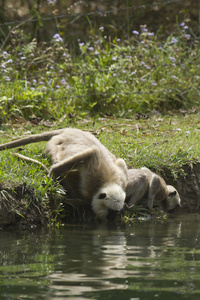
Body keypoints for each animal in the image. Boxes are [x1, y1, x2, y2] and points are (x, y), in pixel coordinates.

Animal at [0, 127, 128, 220]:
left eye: (116, 212)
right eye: (111, 212)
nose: (113, 217)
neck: (108, 182)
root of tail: (71, 130)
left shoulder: (122, 177)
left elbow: (121, 161)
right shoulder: (90, 182)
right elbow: (93, 153)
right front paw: (53, 173)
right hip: (53, 145)